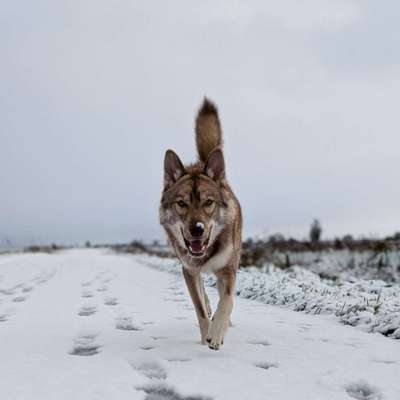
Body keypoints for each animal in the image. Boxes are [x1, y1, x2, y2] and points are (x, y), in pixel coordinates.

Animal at [159, 99, 241, 350]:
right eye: (181, 203)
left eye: (208, 202)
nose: (197, 229)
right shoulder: (189, 270)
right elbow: (200, 309)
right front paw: (207, 334)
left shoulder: (228, 269)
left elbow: (226, 301)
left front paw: (217, 333)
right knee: (204, 296)